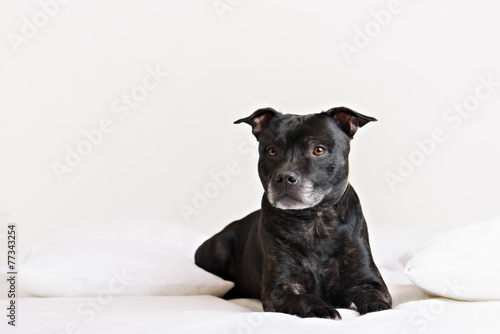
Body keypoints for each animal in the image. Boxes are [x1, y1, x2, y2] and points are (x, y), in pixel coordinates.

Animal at [194, 107, 390, 318]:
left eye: (319, 150)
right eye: (272, 151)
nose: (285, 177)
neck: (314, 222)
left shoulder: (369, 281)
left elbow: (375, 296)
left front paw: (378, 307)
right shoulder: (279, 289)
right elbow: (305, 298)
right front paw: (321, 308)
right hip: (219, 247)